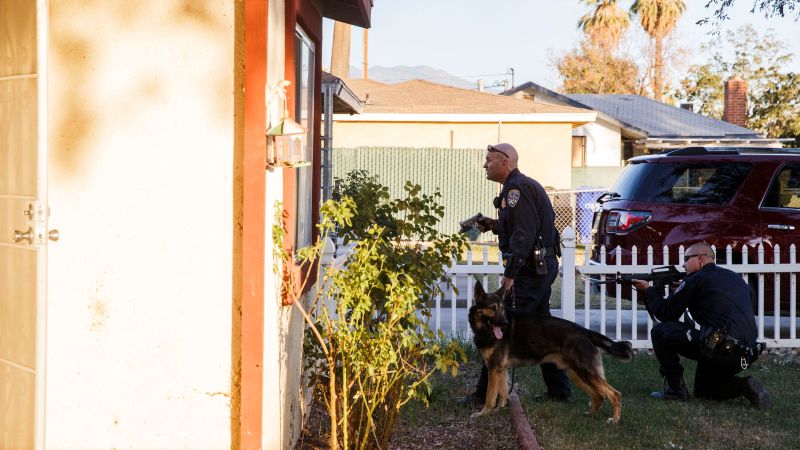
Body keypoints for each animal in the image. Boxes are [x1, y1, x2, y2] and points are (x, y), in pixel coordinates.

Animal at [468, 280, 632, 424]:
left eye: (502, 308)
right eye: (492, 308)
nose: (505, 323)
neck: (485, 330)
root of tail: (585, 331)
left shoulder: (493, 368)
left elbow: (490, 395)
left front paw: (483, 413)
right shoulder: (500, 369)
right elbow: (502, 394)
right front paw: (498, 410)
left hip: (586, 373)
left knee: (614, 394)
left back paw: (614, 420)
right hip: (576, 373)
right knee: (599, 396)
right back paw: (590, 415)